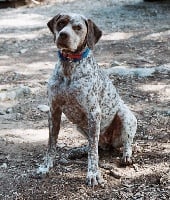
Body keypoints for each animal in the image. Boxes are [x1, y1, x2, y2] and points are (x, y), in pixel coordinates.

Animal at [37, 13, 137, 187]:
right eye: (61, 23)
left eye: (78, 27)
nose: (63, 35)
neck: (69, 65)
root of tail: (108, 142)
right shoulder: (54, 111)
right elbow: (51, 144)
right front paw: (45, 167)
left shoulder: (94, 113)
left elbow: (93, 153)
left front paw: (93, 174)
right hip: (80, 126)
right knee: (95, 144)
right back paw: (79, 150)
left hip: (125, 116)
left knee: (121, 143)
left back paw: (126, 155)